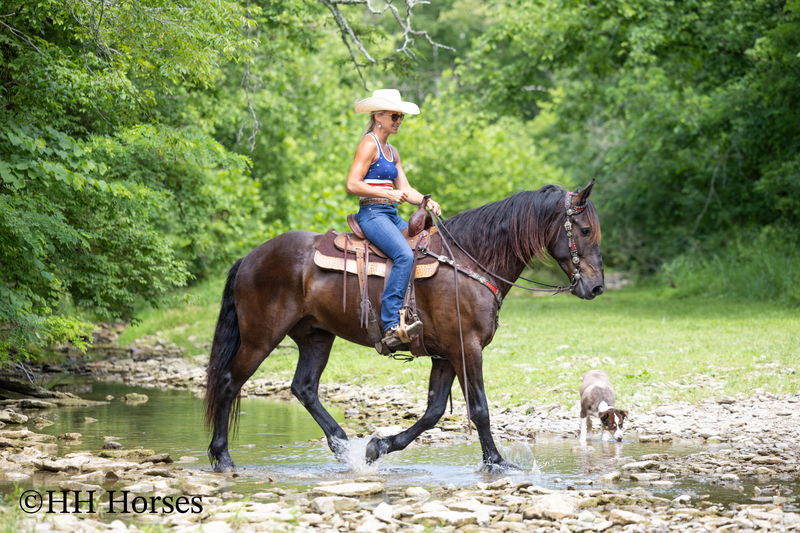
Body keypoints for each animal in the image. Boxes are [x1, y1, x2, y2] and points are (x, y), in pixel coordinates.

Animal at [205, 180, 604, 473]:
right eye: (585, 230)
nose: (597, 287)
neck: (470, 261)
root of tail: (250, 257)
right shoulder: (466, 348)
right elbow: (479, 409)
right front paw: (496, 462)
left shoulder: (445, 355)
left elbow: (432, 412)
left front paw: (377, 447)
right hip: (260, 337)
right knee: (228, 383)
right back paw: (222, 457)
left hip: (316, 336)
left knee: (304, 388)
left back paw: (343, 447)